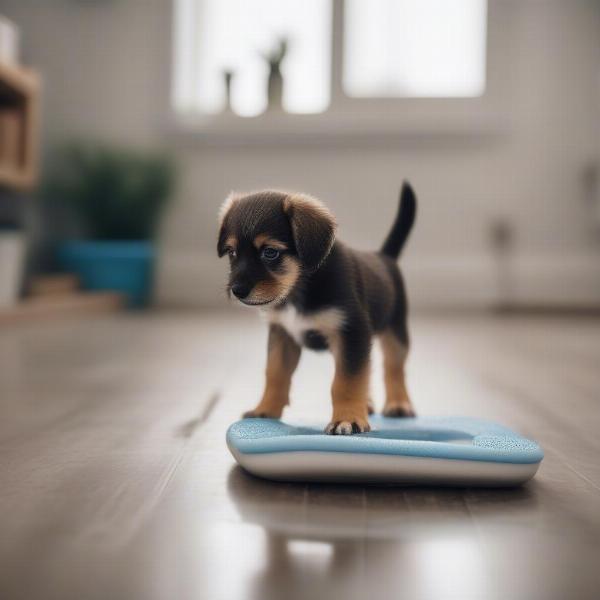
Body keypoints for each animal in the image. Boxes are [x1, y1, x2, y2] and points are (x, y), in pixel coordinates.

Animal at [217, 184, 418, 436]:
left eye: (270, 252)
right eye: (231, 252)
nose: (237, 291)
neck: (299, 288)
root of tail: (384, 256)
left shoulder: (351, 332)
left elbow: (347, 382)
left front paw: (348, 419)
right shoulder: (283, 335)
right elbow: (275, 373)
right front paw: (265, 409)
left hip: (395, 332)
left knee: (394, 368)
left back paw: (398, 404)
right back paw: (367, 404)